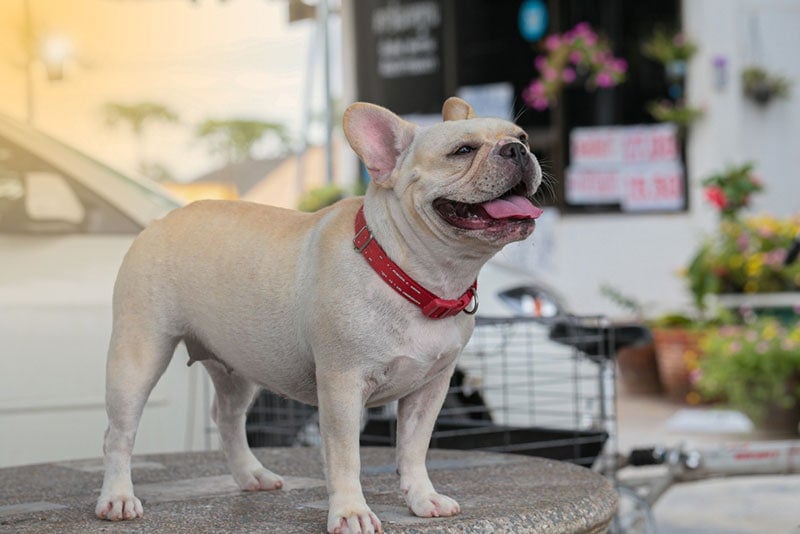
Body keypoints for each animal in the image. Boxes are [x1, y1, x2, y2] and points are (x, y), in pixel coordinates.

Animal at [94, 97, 544, 534]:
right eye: (462, 151)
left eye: (522, 136)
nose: (517, 149)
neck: (415, 276)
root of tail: (160, 220)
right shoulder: (343, 384)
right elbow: (346, 457)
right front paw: (350, 513)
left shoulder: (430, 389)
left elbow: (414, 450)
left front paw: (422, 499)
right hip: (138, 356)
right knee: (118, 433)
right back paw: (117, 498)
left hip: (236, 367)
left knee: (228, 418)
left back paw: (251, 475)